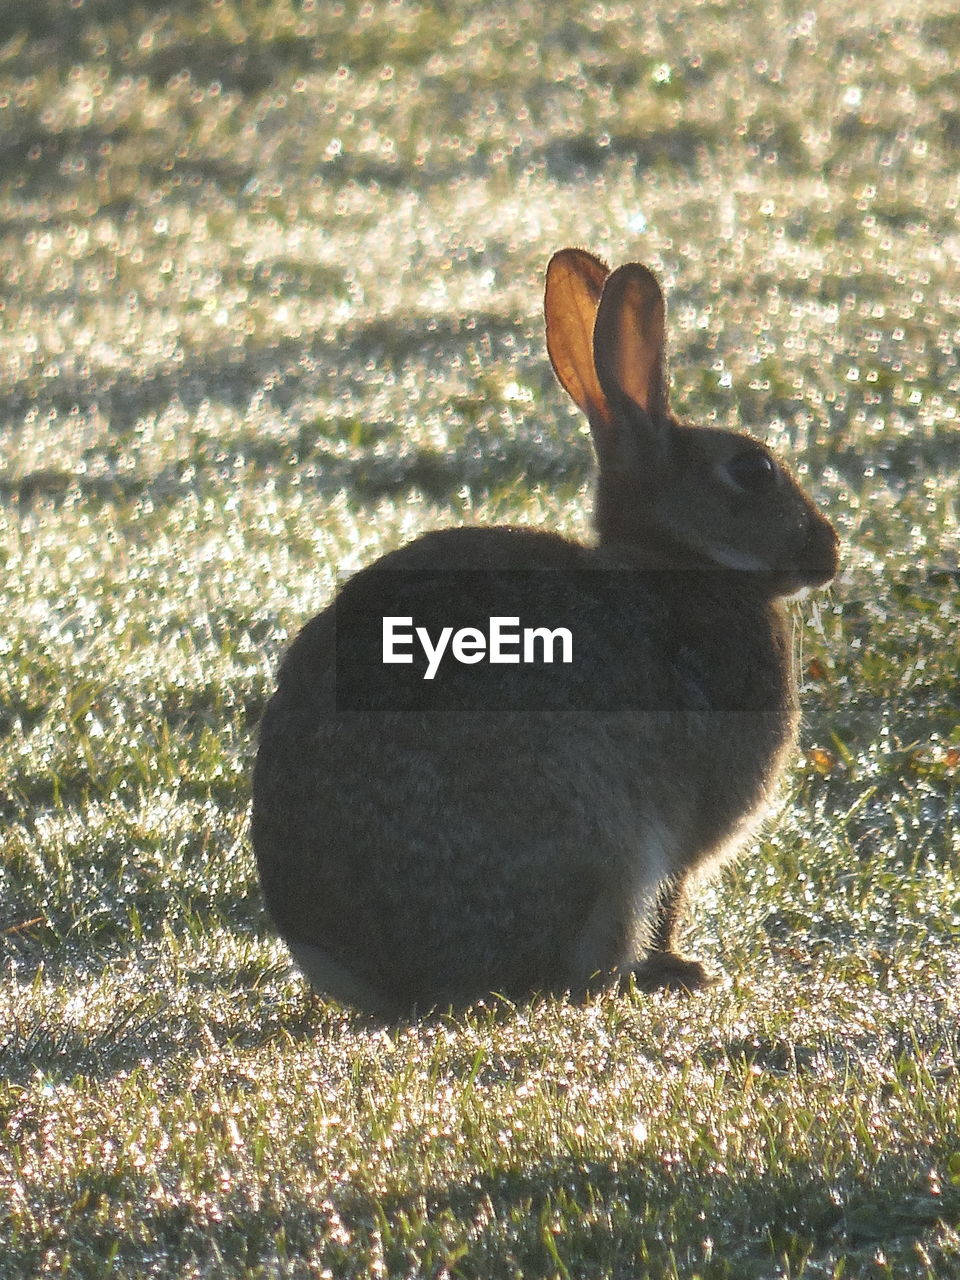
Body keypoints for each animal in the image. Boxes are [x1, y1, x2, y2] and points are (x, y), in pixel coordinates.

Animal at [249, 244, 839, 1013]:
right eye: (753, 470)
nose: (830, 551)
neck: (679, 560)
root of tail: (371, 970)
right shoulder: (685, 833)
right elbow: (672, 899)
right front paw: (681, 967)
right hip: (598, 847)